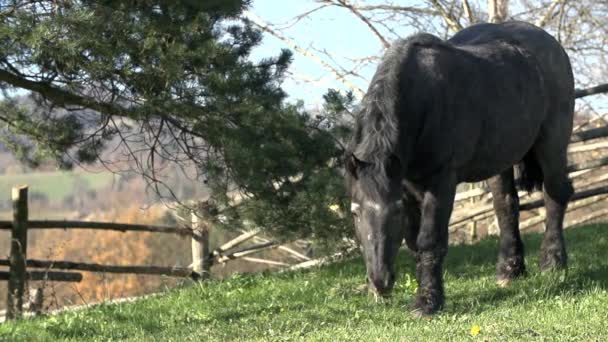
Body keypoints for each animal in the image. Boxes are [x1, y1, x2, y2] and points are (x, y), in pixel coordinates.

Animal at [344, 22, 572, 316]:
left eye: (395, 212)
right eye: (355, 212)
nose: (380, 282)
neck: (421, 96)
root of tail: (548, 41)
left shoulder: (441, 181)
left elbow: (430, 240)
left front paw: (428, 302)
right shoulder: (406, 187)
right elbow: (414, 243)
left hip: (552, 145)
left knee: (555, 195)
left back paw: (553, 262)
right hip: (500, 160)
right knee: (506, 207)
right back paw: (509, 270)